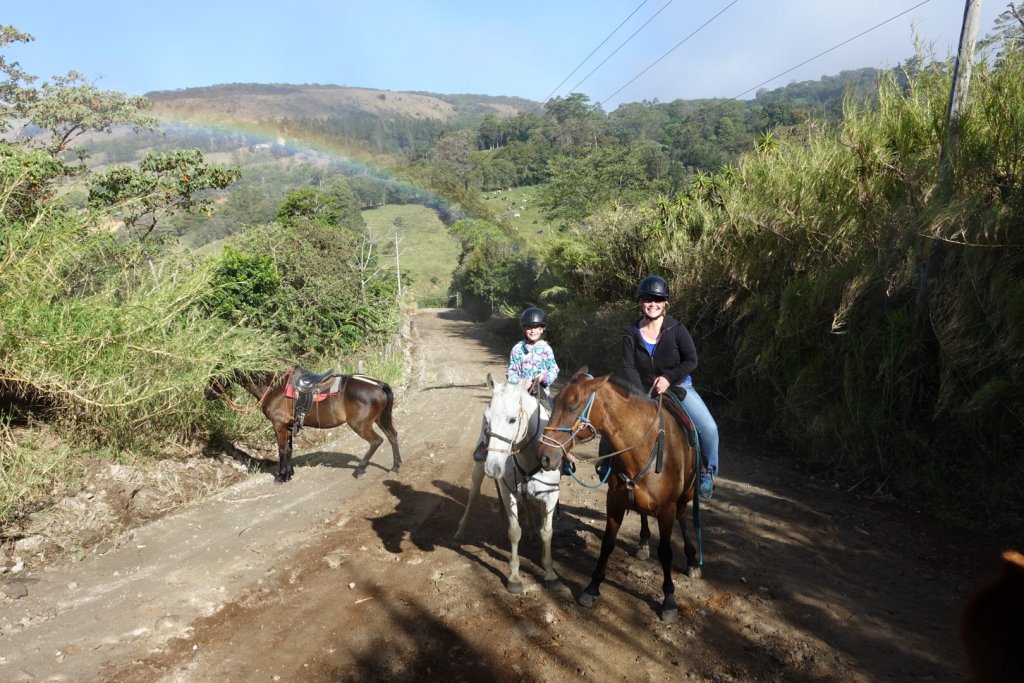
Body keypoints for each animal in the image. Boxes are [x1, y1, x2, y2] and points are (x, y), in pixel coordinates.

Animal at [203, 368, 399, 485]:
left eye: (215, 376)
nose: (206, 393)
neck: (274, 388)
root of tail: (378, 384)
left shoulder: (279, 425)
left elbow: (282, 450)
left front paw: (281, 476)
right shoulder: (288, 426)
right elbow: (289, 450)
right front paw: (289, 473)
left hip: (360, 424)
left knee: (376, 441)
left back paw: (360, 470)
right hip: (381, 419)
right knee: (392, 437)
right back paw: (395, 468)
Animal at [454, 374, 561, 593]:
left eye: (512, 419)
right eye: (487, 419)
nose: (493, 467)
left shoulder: (552, 494)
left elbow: (547, 532)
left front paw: (550, 572)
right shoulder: (507, 489)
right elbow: (514, 531)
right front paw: (514, 577)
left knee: (527, 502)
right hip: (478, 471)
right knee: (473, 496)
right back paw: (460, 531)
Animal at [536, 368, 704, 626]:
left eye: (572, 406)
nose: (544, 456)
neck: (645, 446)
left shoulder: (666, 509)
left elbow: (666, 553)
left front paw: (668, 600)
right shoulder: (614, 502)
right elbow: (607, 544)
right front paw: (592, 587)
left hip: (687, 494)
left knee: (684, 517)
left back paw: (693, 561)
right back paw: (643, 542)